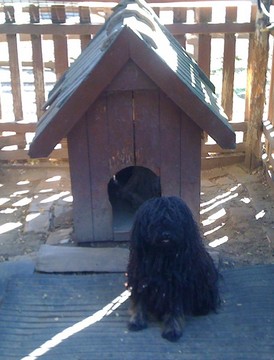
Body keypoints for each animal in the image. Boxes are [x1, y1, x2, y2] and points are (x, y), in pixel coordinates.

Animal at [127, 195, 220, 342]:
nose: (166, 234)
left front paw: (172, 329)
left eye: (175, 218)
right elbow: (139, 300)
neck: (163, 255)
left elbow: (174, 309)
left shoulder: (176, 285)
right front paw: (136, 320)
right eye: (155, 220)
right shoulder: (141, 278)